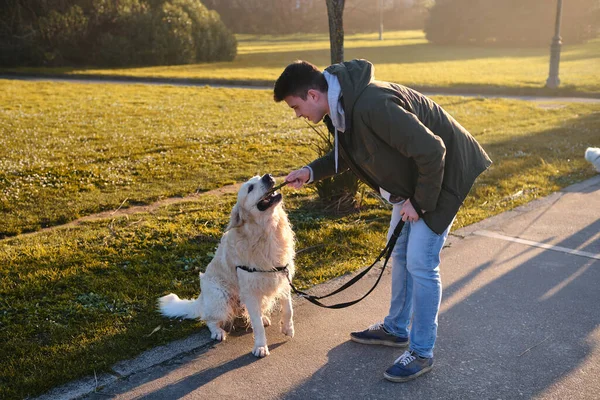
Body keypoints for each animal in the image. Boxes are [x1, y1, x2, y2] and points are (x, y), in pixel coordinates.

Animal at [157, 174, 292, 356]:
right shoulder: (250, 291)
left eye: (259, 177)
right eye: (250, 188)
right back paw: (218, 332)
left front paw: (288, 328)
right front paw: (260, 346)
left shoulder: (282, 275)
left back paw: (262, 317)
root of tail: (201, 299)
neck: (265, 232)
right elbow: (257, 326)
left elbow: (288, 308)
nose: (268, 176)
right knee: (209, 319)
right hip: (220, 297)